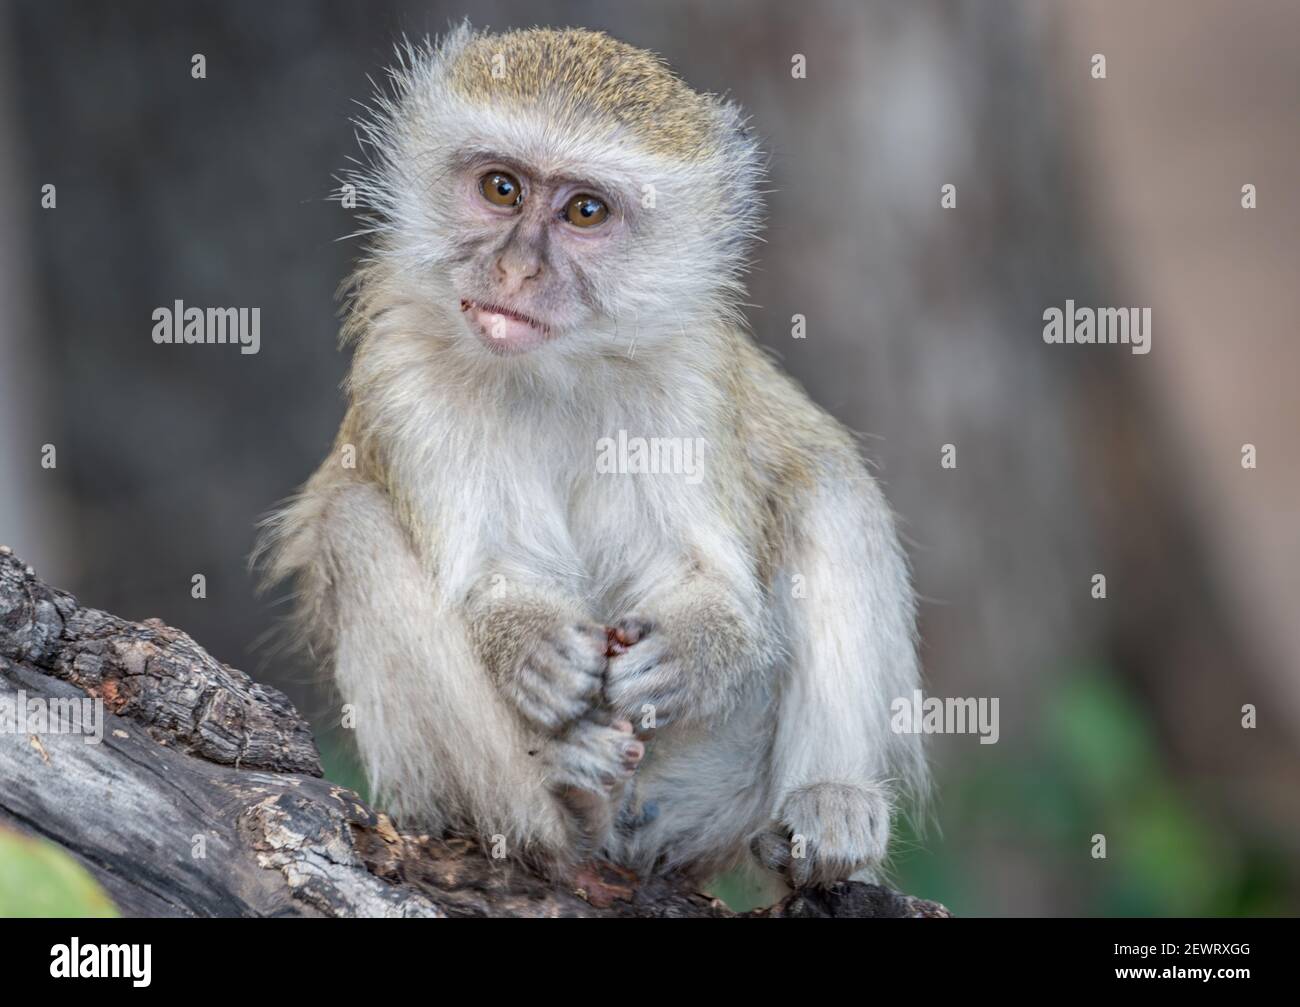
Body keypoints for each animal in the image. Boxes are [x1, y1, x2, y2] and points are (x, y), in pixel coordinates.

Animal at [256, 23, 925, 888]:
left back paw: (829, 802)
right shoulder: (401, 370)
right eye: (501, 188)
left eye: (584, 210)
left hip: (716, 785)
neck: (554, 372)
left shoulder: (690, 373)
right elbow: (485, 569)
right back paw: (564, 795)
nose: (515, 270)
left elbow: (710, 577)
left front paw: (693, 651)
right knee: (353, 524)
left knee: (828, 481)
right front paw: (527, 644)